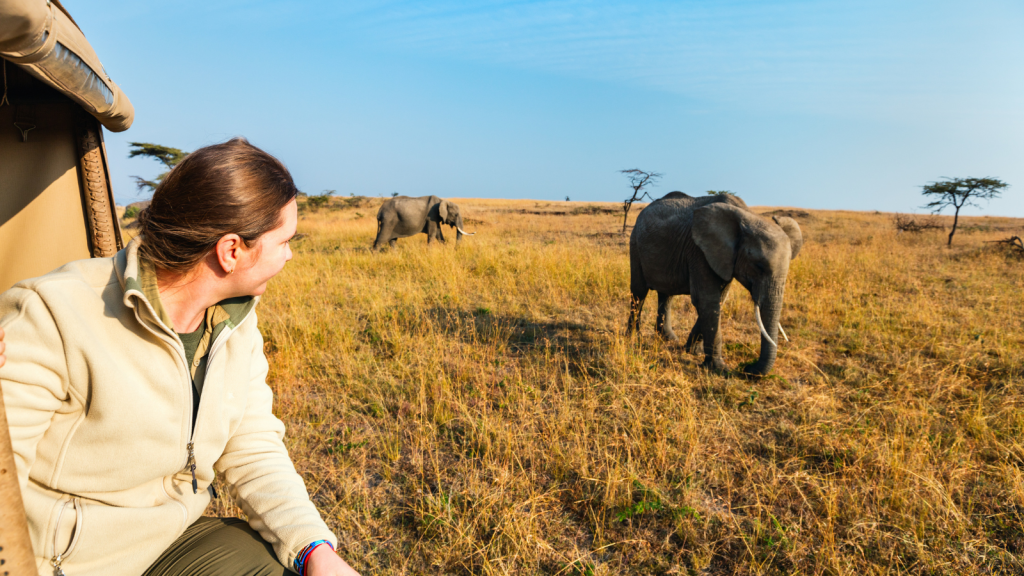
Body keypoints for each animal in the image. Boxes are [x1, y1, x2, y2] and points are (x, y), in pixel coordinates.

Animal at [626, 190, 802, 375]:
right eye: (758, 266)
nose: (747, 368)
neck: (746, 216)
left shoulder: (725, 257)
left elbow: (717, 301)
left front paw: (692, 351)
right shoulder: (699, 250)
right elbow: (707, 301)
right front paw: (719, 369)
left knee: (666, 295)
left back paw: (669, 339)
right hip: (635, 244)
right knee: (639, 293)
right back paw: (633, 338)